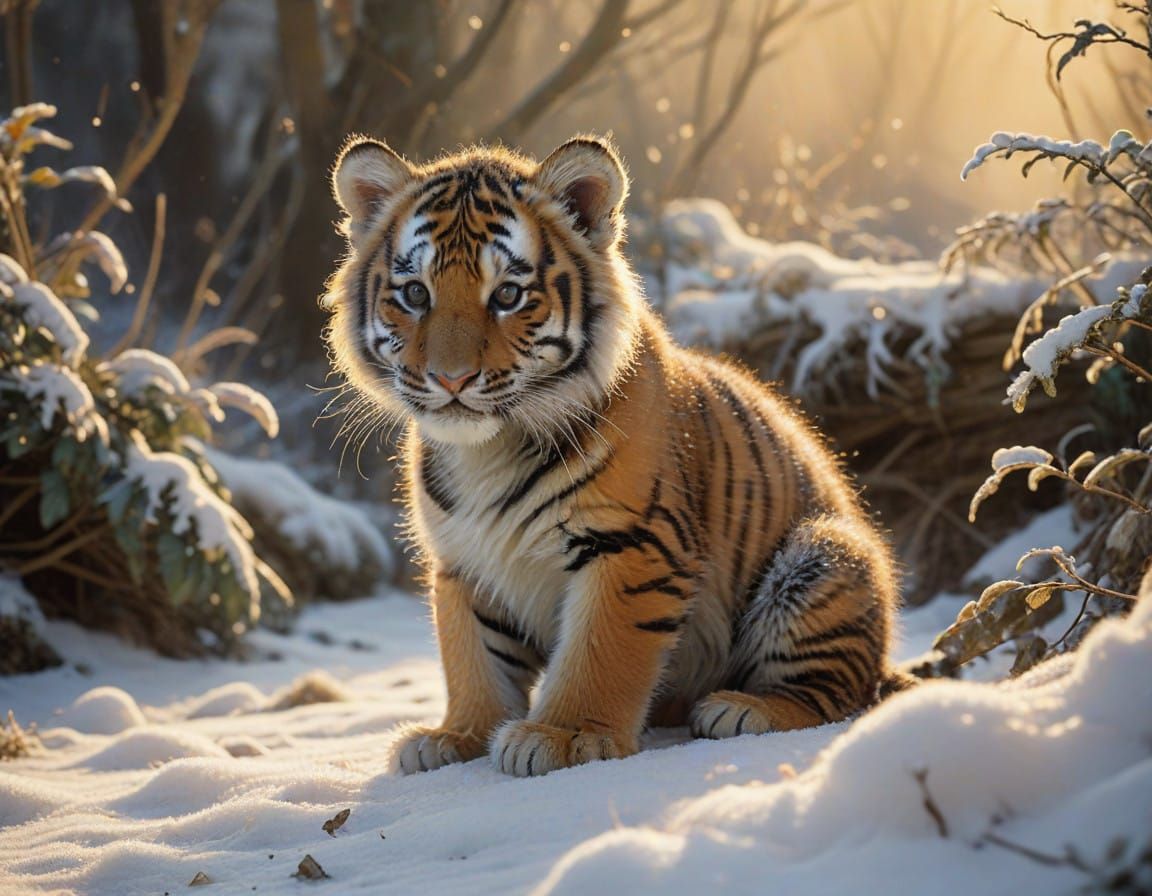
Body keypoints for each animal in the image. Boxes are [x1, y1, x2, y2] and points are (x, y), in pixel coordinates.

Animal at [323, 133, 909, 777]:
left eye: (507, 295)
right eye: (414, 294)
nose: (451, 379)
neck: (490, 450)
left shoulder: (632, 542)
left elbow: (598, 650)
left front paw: (564, 737)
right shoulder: (465, 559)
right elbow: (472, 654)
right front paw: (458, 736)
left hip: (826, 555)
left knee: (839, 696)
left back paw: (741, 709)